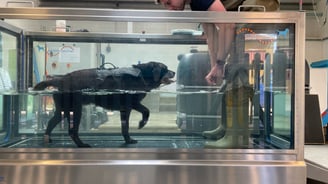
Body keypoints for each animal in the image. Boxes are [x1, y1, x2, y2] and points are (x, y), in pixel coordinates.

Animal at [34, 61, 174, 147]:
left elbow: (125, 127)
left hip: (63, 110)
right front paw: (141, 124)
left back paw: (48, 138)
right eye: (165, 68)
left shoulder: (125, 109)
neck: (143, 76)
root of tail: (61, 79)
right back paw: (81, 144)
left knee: (52, 121)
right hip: (76, 109)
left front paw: (128, 140)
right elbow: (146, 111)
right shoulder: (131, 104)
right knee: (72, 131)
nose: (174, 72)